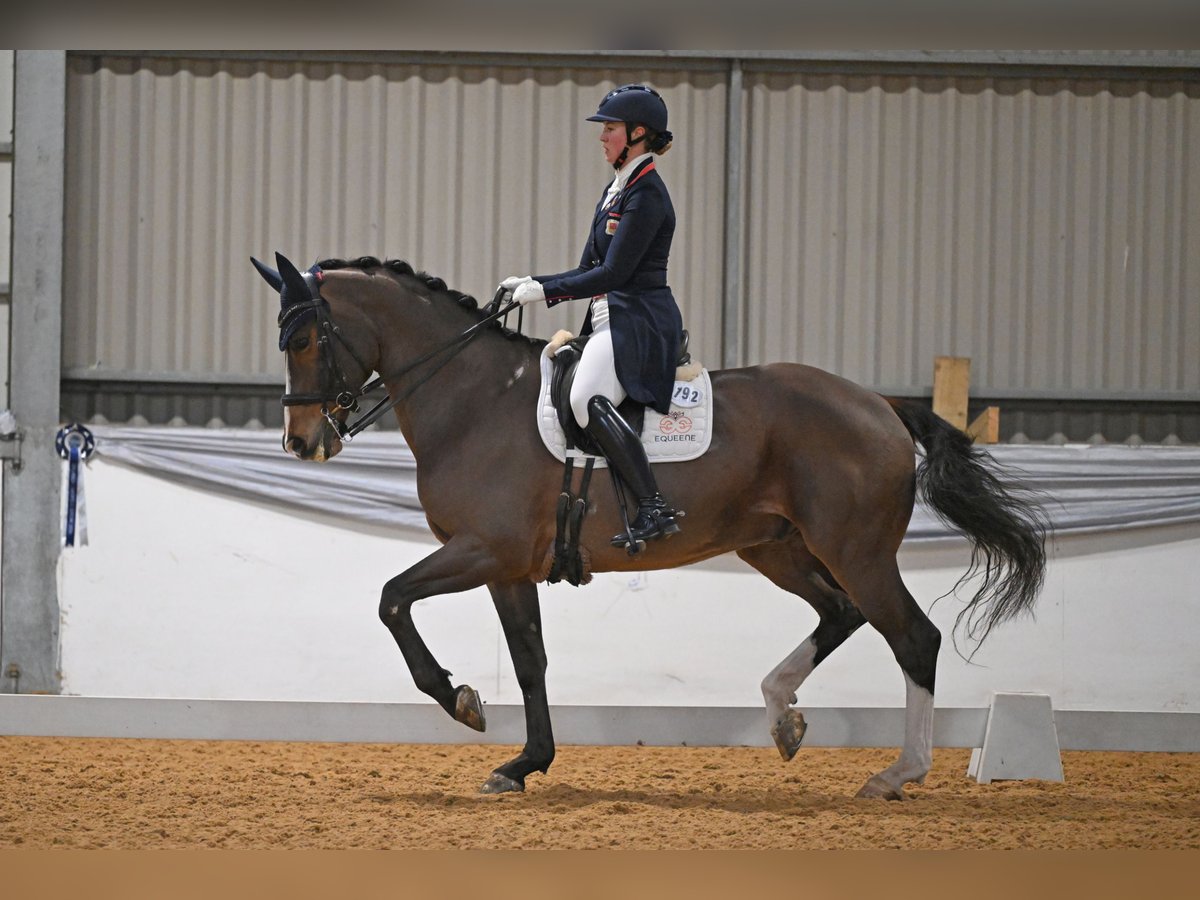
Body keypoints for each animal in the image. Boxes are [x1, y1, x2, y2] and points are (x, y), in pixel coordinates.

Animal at [253, 250, 1051, 801]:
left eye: (306, 340)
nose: (301, 442)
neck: (472, 398)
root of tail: (881, 405)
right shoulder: (509, 567)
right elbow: (530, 661)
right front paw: (523, 764)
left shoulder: (483, 549)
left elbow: (392, 599)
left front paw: (461, 702)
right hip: (777, 547)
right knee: (841, 613)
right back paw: (782, 715)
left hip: (856, 549)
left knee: (911, 636)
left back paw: (898, 774)